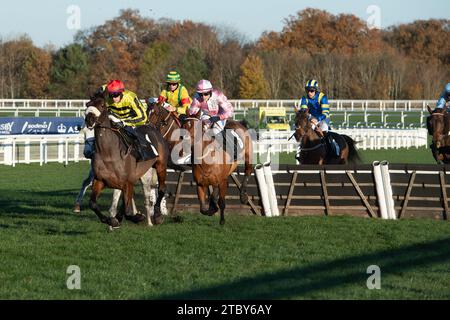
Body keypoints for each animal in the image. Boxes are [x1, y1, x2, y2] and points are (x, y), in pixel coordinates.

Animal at [84, 95, 169, 228]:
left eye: (102, 105)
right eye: (87, 104)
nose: (89, 119)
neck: (108, 154)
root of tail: (153, 128)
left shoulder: (127, 182)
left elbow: (128, 211)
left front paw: (137, 217)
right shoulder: (100, 181)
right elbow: (92, 203)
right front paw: (112, 220)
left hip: (160, 166)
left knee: (161, 189)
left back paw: (157, 215)